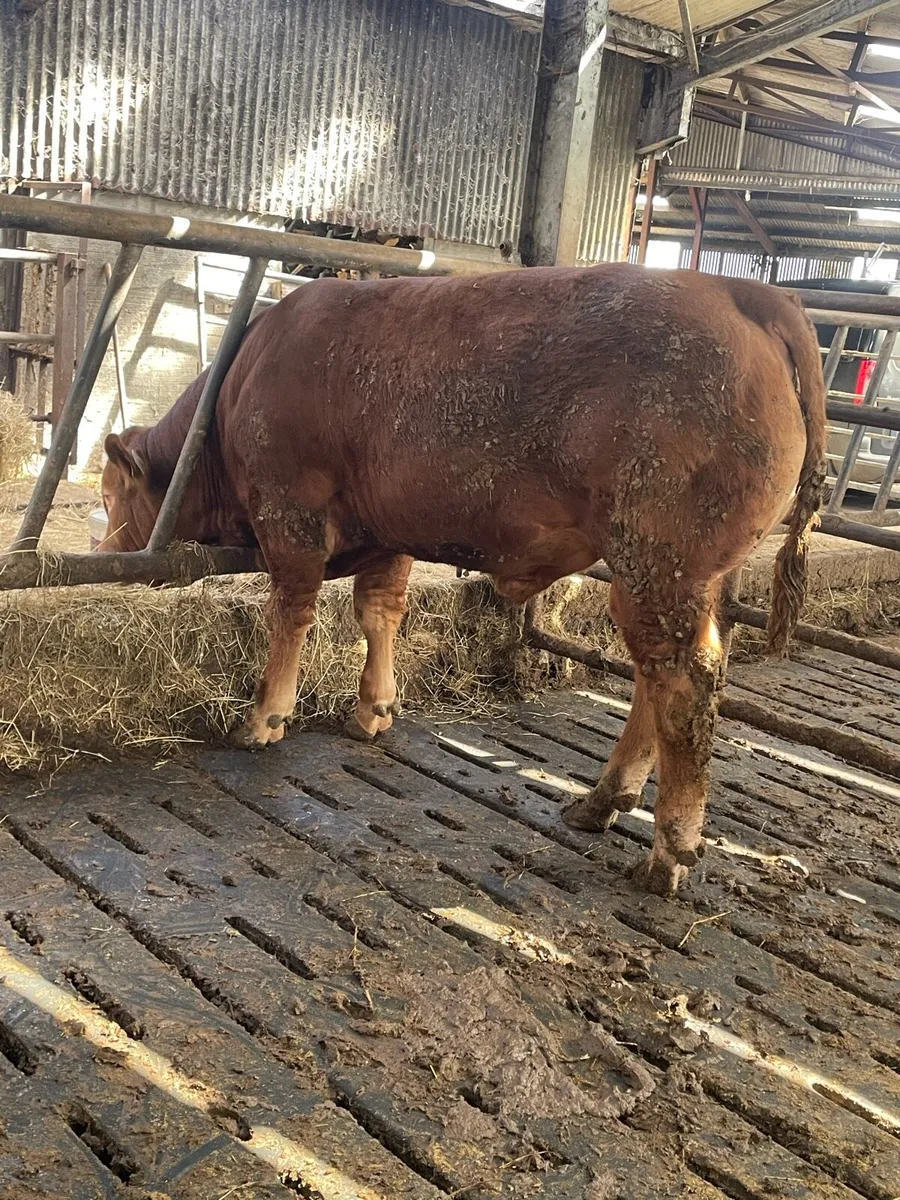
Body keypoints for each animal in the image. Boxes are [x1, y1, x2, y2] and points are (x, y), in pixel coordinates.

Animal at [100, 263, 825, 895]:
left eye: (110, 494)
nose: (103, 548)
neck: (236, 391)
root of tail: (741, 291)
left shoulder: (290, 511)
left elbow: (293, 610)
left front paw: (265, 719)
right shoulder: (385, 533)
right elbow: (379, 612)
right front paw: (373, 710)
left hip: (659, 561)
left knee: (684, 682)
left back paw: (666, 852)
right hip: (667, 577)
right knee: (656, 676)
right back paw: (598, 803)